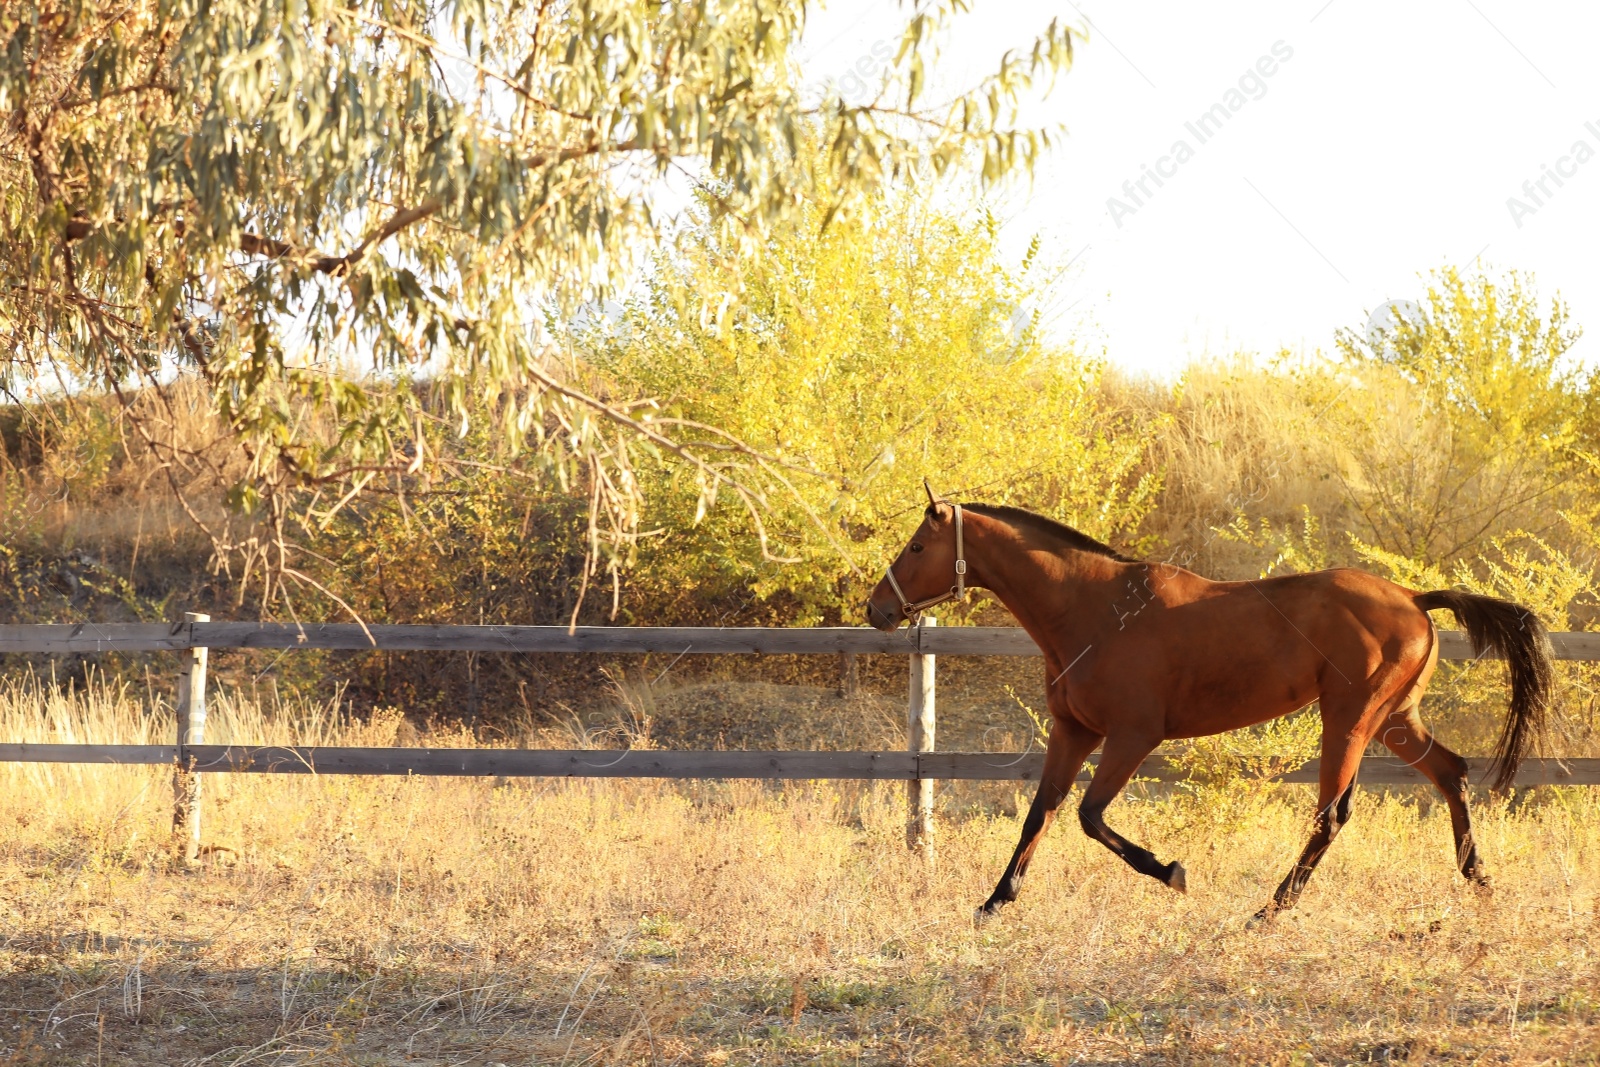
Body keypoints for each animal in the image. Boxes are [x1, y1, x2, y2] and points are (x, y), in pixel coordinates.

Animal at [870, 489, 1555, 921]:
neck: (1094, 608)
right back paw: (1479, 880)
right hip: (1394, 720)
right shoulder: (1073, 731)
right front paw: (993, 902)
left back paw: (1268, 911)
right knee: (1450, 773)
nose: (877, 608)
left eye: (916, 547)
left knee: (1331, 815)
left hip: (1351, 719)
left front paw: (1172, 872)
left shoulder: (1132, 735)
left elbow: (1089, 816)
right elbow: (1041, 814)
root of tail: (1414, 598)